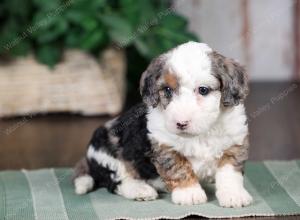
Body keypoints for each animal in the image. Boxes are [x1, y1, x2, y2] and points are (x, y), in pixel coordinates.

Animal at [73, 41, 253, 208]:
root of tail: (87, 158)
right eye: (167, 90)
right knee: (118, 181)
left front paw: (233, 195)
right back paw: (141, 190)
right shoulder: (165, 146)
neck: (201, 134)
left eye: (203, 90)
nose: (181, 123)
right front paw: (189, 193)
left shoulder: (234, 143)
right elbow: (178, 167)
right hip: (108, 156)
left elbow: (229, 172)